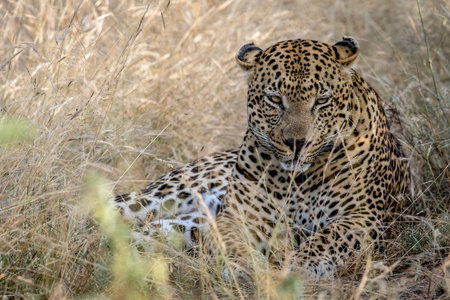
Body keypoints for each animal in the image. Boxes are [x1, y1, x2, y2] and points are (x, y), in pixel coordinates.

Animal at [110, 35, 410, 278]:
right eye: (275, 99)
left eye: (322, 100)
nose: (296, 143)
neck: (298, 179)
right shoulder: (237, 217)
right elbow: (231, 242)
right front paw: (244, 265)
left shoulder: (363, 217)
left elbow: (329, 238)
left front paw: (303, 264)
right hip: (167, 194)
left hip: (182, 224)